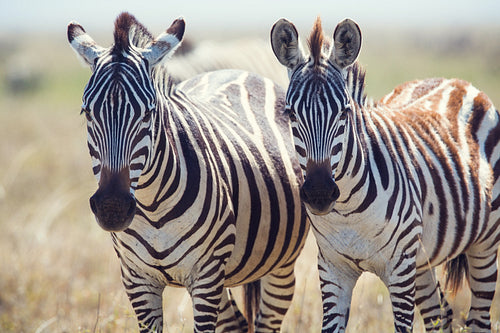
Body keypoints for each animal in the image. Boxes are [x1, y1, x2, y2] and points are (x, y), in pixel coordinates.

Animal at [66, 11, 308, 330]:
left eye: (149, 112)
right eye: (87, 112)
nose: (112, 208)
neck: (152, 207)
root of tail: (238, 72)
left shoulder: (205, 275)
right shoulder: (137, 280)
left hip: (279, 266)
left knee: (266, 321)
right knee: (236, 323)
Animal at [274, 16, 500, 332]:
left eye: (344, 113)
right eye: (291, 114)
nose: (319, 193)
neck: (348, 214)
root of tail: (457, 81)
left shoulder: (400, 270)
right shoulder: (332, 269)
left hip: (485, 245)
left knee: (479, 317)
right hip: (423, 259)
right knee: (441, 315)